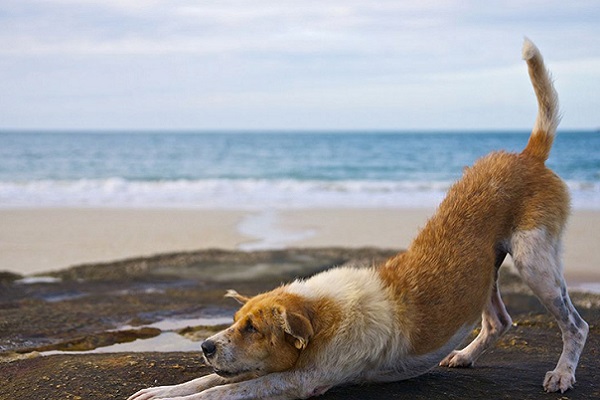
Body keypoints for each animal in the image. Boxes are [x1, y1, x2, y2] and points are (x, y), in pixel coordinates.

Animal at [129, 39, 588, 400]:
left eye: (253, 329)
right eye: (235, 322)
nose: (205, 346)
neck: (320, 315)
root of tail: (528, 155)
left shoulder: (300, 380)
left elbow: (225, 390)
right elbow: (206, 381)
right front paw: (161, 389)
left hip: (534, 261)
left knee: (577, 325)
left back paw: (562, 374)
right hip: (487, 269)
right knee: (499, 321)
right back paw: (465, 355)